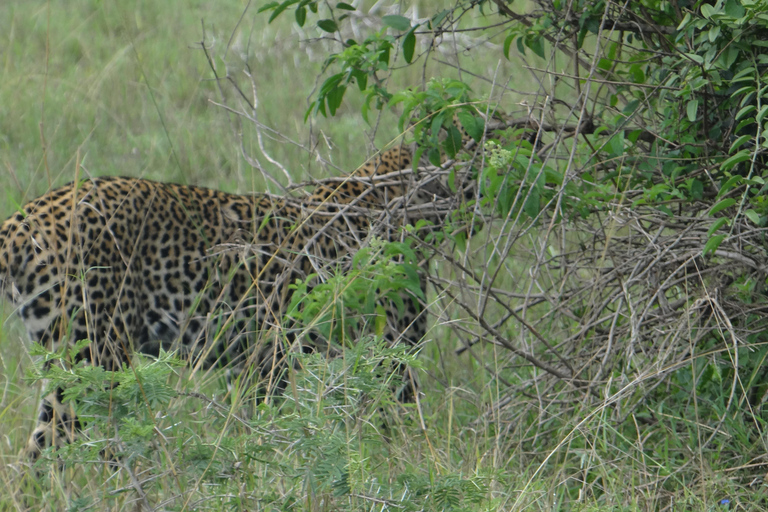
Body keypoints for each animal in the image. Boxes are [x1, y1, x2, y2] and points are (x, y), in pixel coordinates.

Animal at [0, 145, 474, 464]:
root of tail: (24, 218)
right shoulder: (386, 355)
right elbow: (403, 426)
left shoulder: (257, 363)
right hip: (95, 360)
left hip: (65, 364)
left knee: (35, 456)